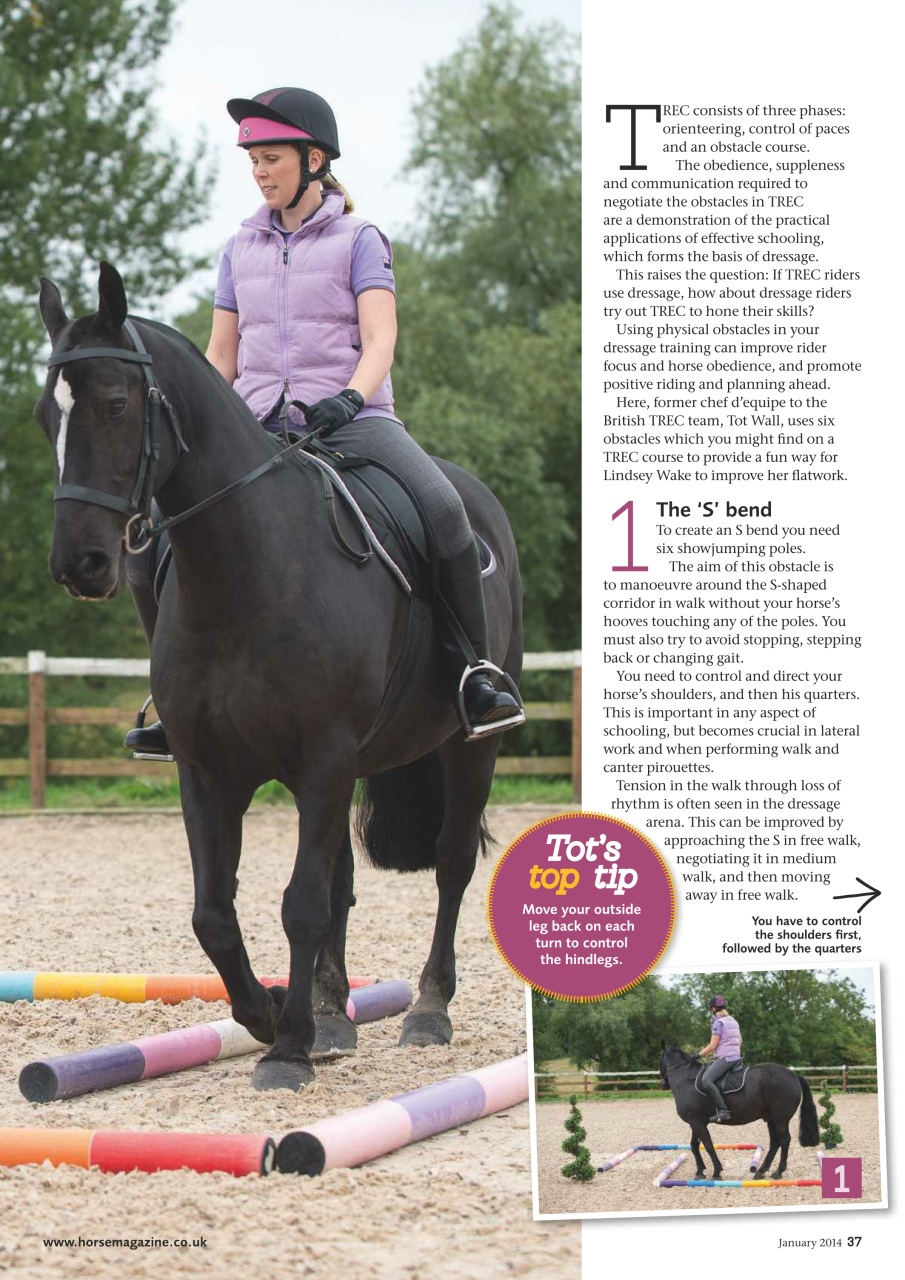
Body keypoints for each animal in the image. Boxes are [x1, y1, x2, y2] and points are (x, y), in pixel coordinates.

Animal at [34, 262, 524, 1093]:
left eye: (114, 404)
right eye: (45, 418)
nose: (80, 564)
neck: (247, 571)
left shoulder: (321, 759)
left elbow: (298, 905)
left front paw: (287, 1048)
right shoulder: (207, 769)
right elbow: (214, 910)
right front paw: (267, 1015)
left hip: (468, 744)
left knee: (452, 863)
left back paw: (426, 1011)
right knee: (342, 883)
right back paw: (332, 1014)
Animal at [659, 1044, 820, 1179]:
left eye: (660, 1060)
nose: (663, 1084)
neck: (685, 1080)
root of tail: (794, 1075)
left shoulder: (696, 1121)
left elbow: (708, 1146)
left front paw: (716, 1171)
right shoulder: (697, 1122)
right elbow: (694, 1145)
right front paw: (700, 1171)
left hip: (780, 1118)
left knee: (784, 1140)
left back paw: (778, 1172)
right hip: (772, 1119)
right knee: (775, 1142)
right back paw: (761, 1171)